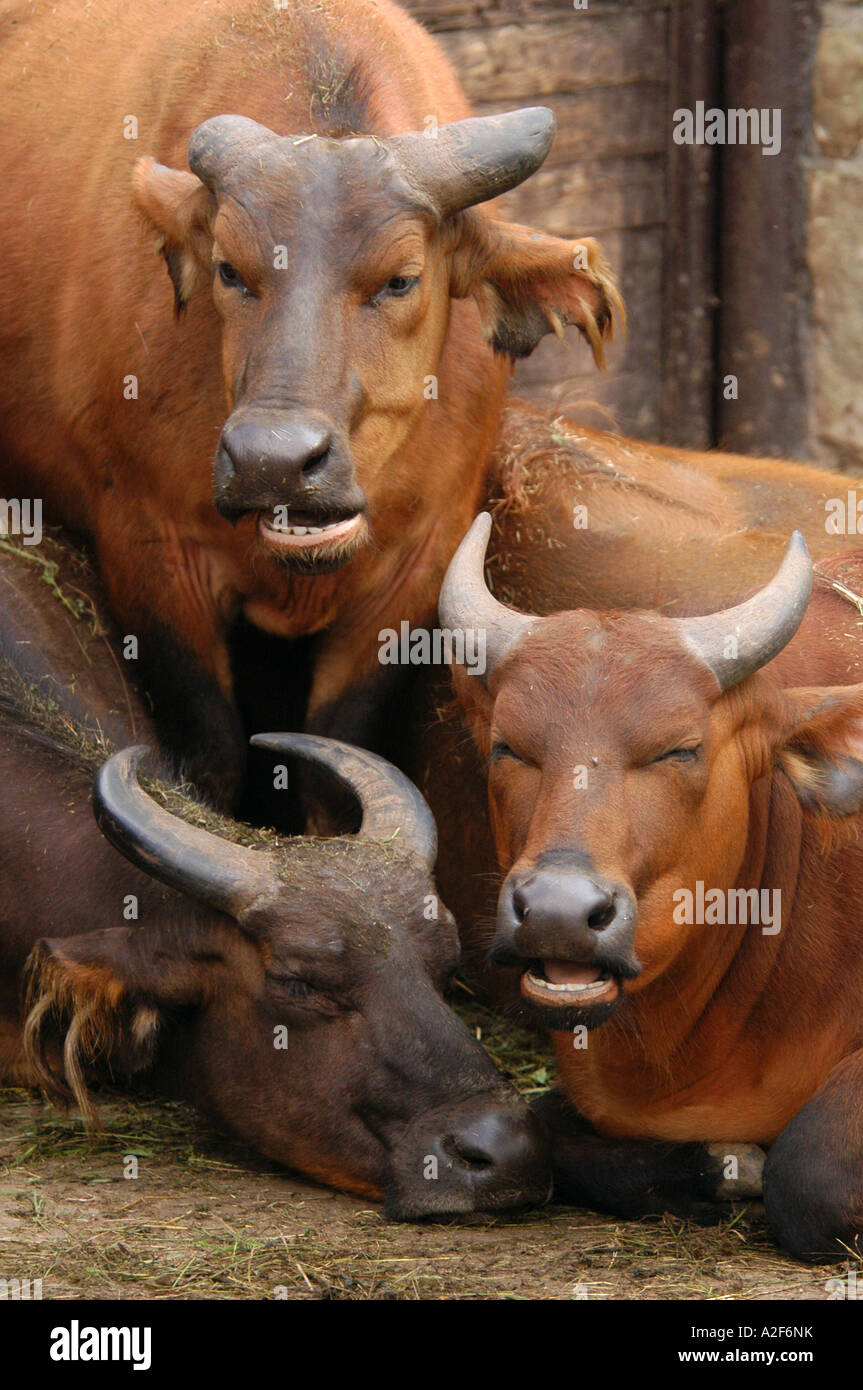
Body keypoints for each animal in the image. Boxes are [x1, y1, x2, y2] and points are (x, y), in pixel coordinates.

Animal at [0, 0, 619, 806]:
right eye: (229, 270)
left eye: (401, 278)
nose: (273, 463)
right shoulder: (150, 552)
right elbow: (213, 753)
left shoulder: (413, 572)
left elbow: (337, 758)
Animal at [433, 505, 861, 1256]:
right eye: (509, 746)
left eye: (678, 750)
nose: (557, 913)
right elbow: (541, 1131)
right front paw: (712, 1169)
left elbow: (812, 1174)